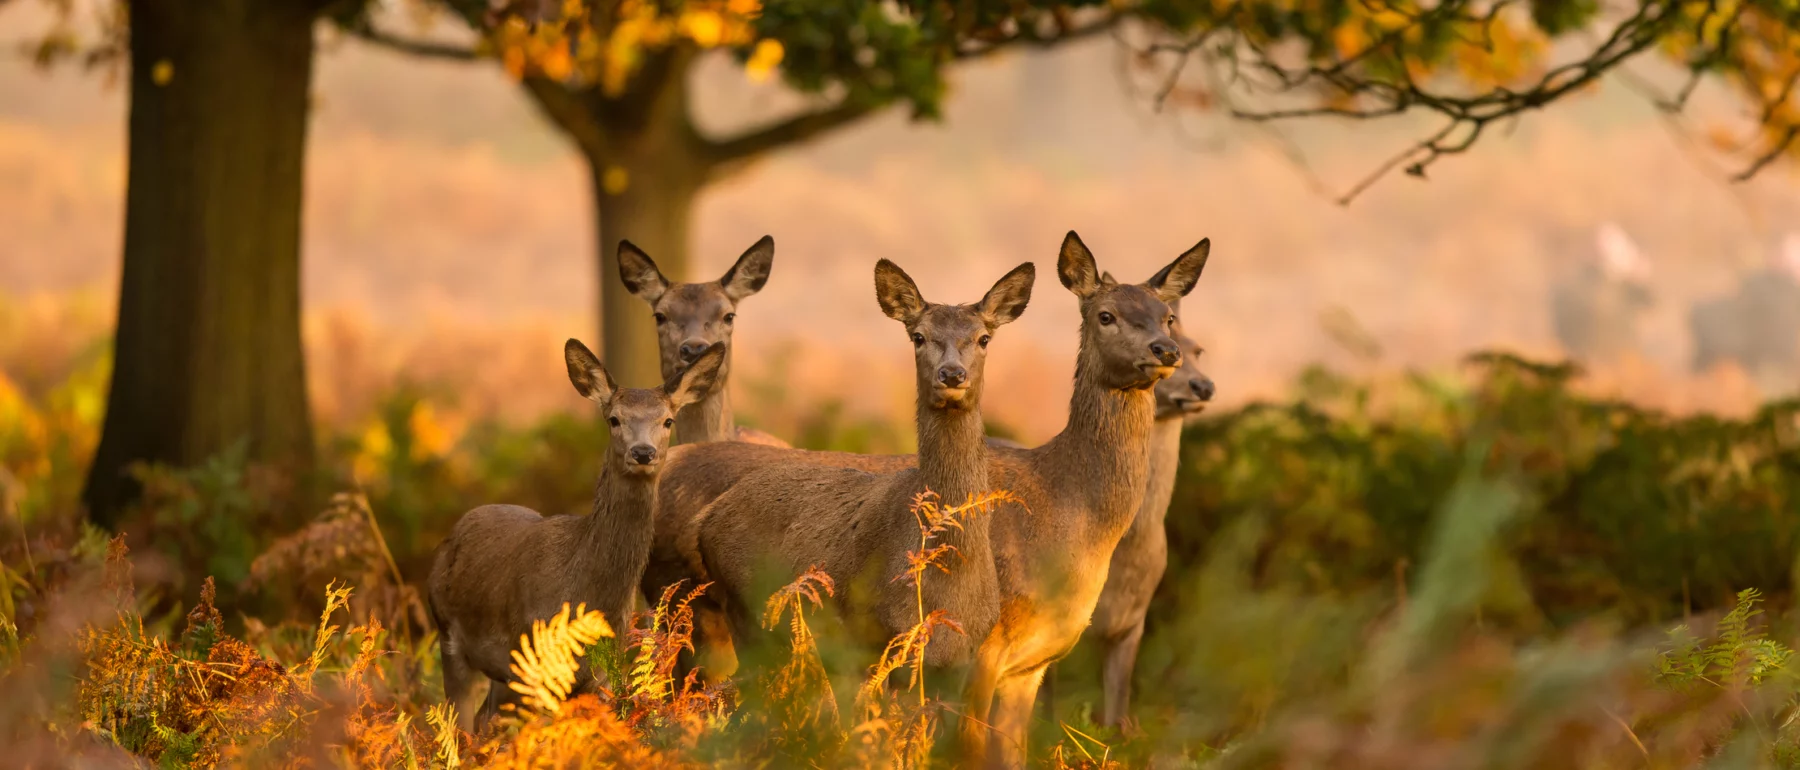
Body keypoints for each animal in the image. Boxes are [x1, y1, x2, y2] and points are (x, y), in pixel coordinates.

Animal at [426, 339, 725, 733]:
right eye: (614, 419)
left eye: (668, 420)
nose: (643, 452)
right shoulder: (536, 662)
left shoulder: (600, 674)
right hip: (449, 634)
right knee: (458, 728)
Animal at [678, 258, 1036, 670]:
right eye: (918, 336)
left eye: (984, 338)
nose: (951, 374)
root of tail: (706, 517)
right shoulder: (872, 635)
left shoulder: (964, 653)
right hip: (746, 610)